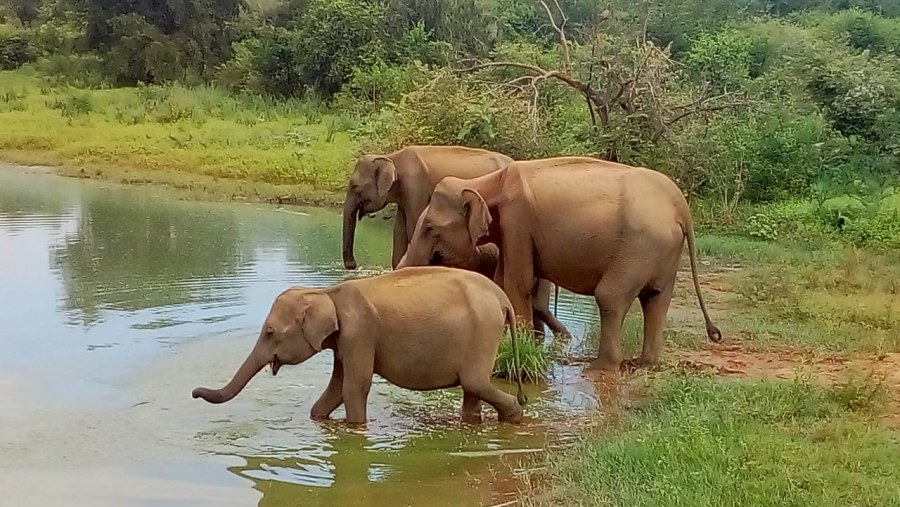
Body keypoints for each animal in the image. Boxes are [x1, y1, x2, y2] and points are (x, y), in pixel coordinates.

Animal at [190, 266, 528, 424]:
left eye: (270, 332)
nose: (193, 393)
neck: (327, 292)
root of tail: (502, 298)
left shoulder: (359, 334)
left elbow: (355, 386)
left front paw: (354, 429)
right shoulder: (343, 341)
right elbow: (338, 387)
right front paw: (319, 420)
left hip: (483, 331)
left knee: (474, 382)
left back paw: (515, 417)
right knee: (472, 390)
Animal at [338, 145, 568, 340]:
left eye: (354, 186)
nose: (352, 265)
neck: (392, 156)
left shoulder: (415, 187)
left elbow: (412, 228)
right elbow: (400, 235)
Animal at [398, 157, 720, 372]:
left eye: (429, 228)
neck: (487, 181)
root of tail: (680, 205)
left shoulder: (518, 219)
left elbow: (517, 282)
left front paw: (519, 349)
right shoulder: (511, 228)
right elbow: (503, 281)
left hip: (641, 245)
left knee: (611, 296)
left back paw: (600, 367)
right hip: (663, 250)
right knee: (656, 298)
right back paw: (645, 365)